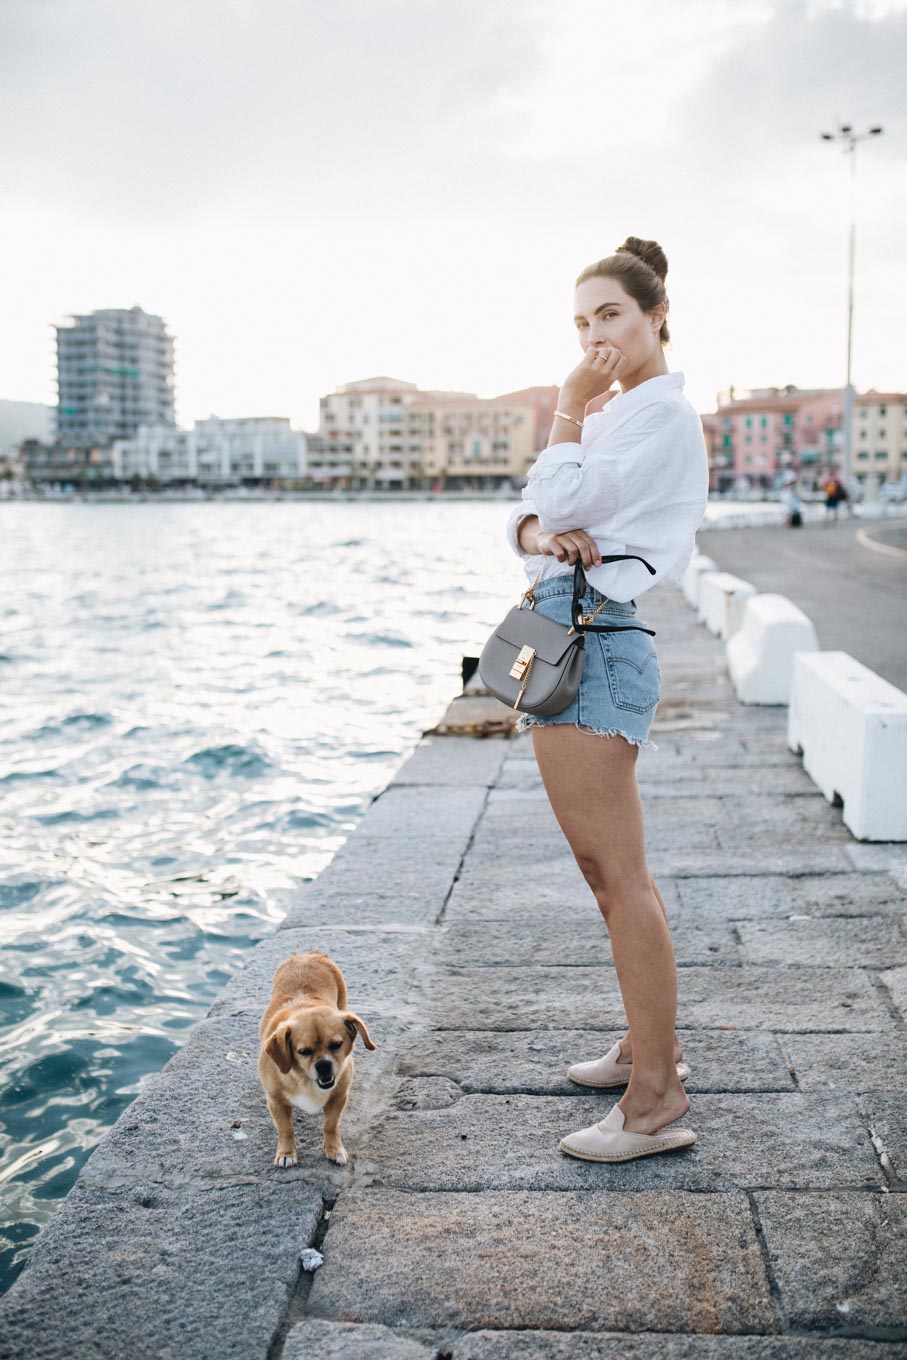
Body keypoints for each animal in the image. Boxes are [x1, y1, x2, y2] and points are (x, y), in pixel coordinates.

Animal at [255, 952, 375, 1164]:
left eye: (336, 1044)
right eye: (304, 1051)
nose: (323, 1065)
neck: (305, 1081)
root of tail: (308, 954)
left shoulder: (338, 1097)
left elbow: (330, 1126)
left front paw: (334, 1149)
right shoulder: (276, 1103)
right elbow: (286, 1129)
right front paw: (286, 1153)